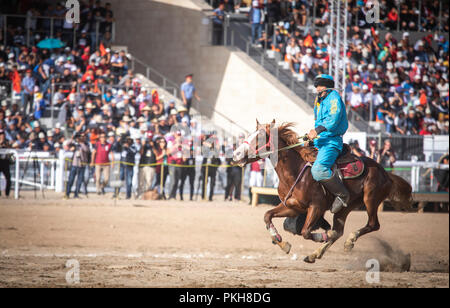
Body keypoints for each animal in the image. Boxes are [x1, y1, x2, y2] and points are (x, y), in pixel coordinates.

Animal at [234, 119, 414, 262]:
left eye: (259, 137)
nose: (235, 154)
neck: (295, 172)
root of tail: (385, 172)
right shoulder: (292, 207)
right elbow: (267, 215)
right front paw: (282, 242)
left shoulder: (316, 207)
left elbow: (306, 232)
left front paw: (323, 235)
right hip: (345, 208)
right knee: (339, 230)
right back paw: (315, 254)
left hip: (370, 199)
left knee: (372, 224)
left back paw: (349, 240)